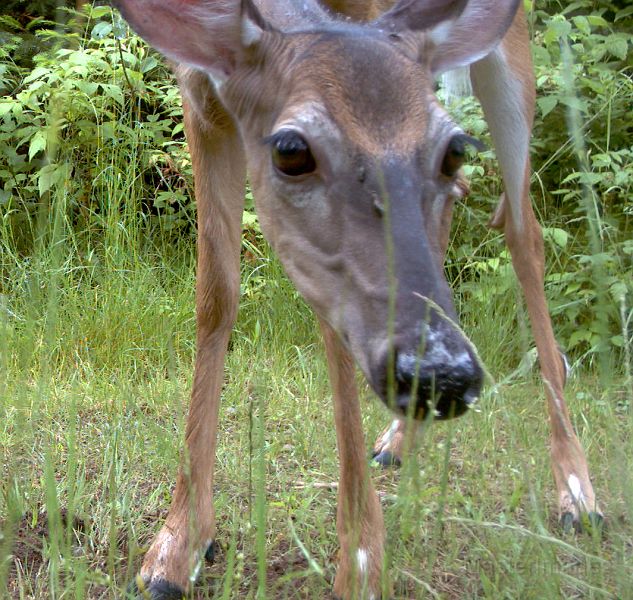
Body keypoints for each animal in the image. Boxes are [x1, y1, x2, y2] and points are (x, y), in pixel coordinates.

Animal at [113, 0, 604, 596]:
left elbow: (333, 331)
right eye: (291, 151)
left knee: (522, 229)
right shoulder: (200, 91)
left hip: (508, 58)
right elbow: (216, 296)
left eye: (454, 148)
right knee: (465, 203)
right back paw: (398, 437)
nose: (443, 375)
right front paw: (177, 546)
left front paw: (363, 564)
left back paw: (576, 489)